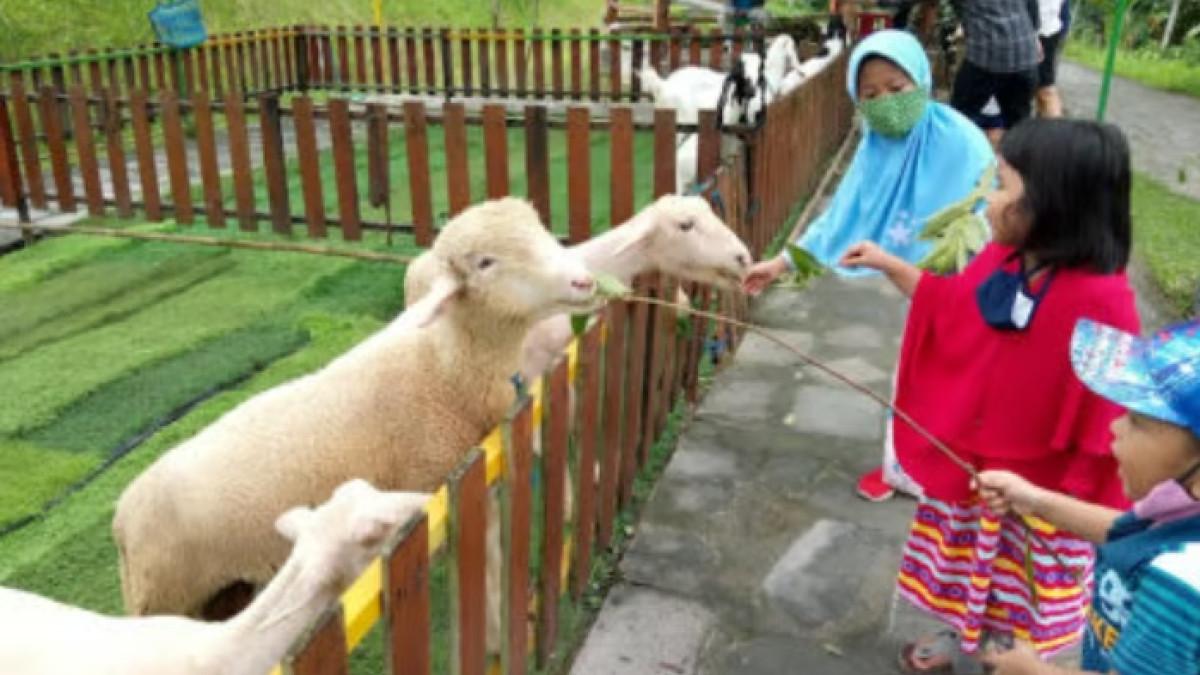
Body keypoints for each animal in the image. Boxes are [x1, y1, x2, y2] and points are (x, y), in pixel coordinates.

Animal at [113, 197, 596, 655]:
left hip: (226, 587)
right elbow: (485, 561)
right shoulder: (439, 483)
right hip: (164, 596)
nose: (585, 280)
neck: (442, 366)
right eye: (485, 262)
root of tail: (121, 514)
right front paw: (497, 638)